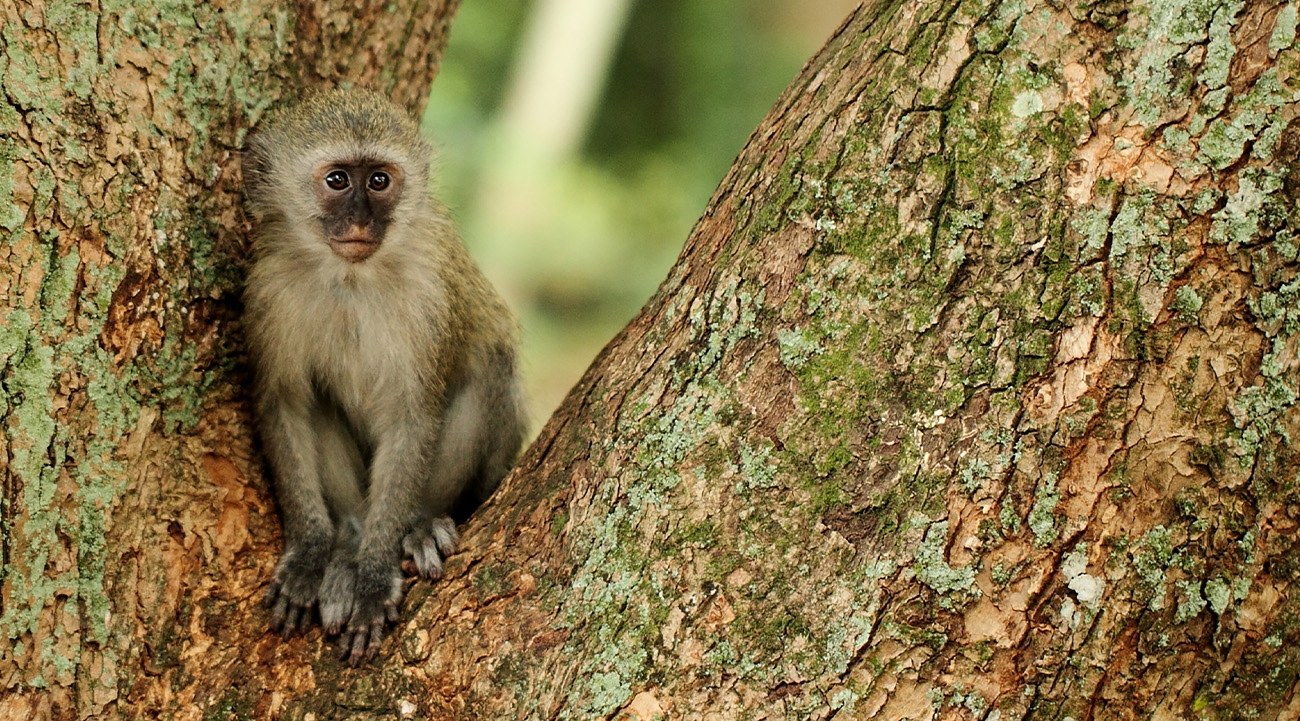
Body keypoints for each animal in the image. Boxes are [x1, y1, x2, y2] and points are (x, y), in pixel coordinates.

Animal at [241, 88, 524, 666]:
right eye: (337, 181)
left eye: (378, 181)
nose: (359, 221)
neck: (350, 277)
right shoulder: (268, 286)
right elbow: (286, 403)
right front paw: (311, 551)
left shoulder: (430, 290)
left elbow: (412, 419)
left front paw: (374, 579)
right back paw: (348, 542)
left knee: (491, 367)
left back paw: (418, 527)